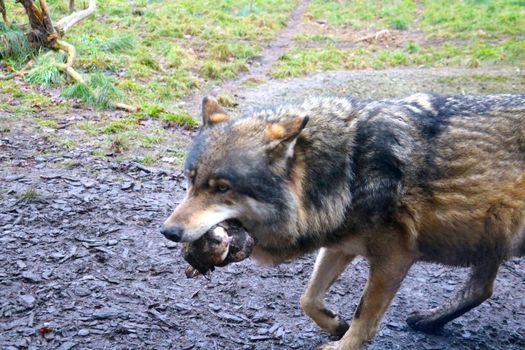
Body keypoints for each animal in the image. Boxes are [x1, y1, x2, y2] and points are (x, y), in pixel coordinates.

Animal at [160, 93, 524, 350]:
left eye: (222, 188)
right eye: (190, 180)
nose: (168, 232)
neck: (347, 169)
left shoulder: (394, 258)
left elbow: (364, 316)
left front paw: (342, 344)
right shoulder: (338, 244)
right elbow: (308, 298)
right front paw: (336, 325)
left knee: (482, 288)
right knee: (483, 288)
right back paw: (430, 321)